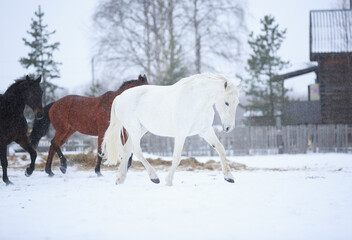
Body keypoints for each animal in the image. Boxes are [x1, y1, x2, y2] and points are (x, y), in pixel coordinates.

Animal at [102, 72, 242, 186]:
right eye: (226, 102)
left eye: (237, 103)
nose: (228, 127)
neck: (195, 101)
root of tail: (119, 97)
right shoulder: (181, 134)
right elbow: (176, 157)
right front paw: (168, 181)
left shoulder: (205, 131)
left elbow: (220, 148)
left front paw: (229, 177)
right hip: (134, 129)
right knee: (136, 150)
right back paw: (154, 177)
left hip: (140, 129)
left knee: (126, 150)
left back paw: (120, 179)